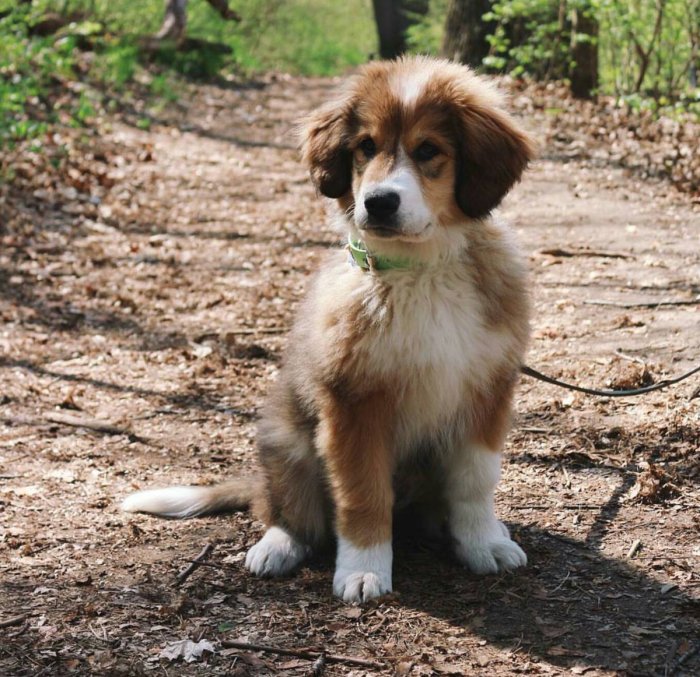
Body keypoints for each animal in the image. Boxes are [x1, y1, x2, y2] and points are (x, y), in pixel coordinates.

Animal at [121, 56, 536, 604]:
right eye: (366, 147)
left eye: (429, 150)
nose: (378, 202)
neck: (418, 270)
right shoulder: (353, 404)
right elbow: (362, 493)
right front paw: (364, 568)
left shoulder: (487, 389)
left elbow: (475, 479)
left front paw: (483, 542)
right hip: (287, 440)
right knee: (290, 512)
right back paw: (277, 545)